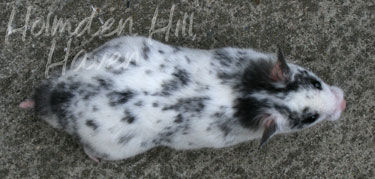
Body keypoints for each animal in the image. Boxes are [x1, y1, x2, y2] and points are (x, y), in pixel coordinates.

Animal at [18, 36, 346, 161]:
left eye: (316, 82)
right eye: (310, 118)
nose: (343, 102)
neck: (248, 96)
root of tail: (57, 98)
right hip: (113, 148)